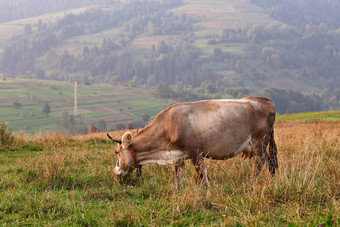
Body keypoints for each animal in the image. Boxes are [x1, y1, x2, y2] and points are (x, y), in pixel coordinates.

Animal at [107, 96, 278, 186]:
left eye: (116, 152)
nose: (115, 171)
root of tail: (264, 100)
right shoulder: (178, 156)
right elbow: (179, 176)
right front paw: (178, 190)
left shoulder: (195, 152)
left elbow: (202, 173)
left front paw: (207, 191)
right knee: (269, 161)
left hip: (259, 142)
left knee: (260, 162)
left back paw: (253, 183)